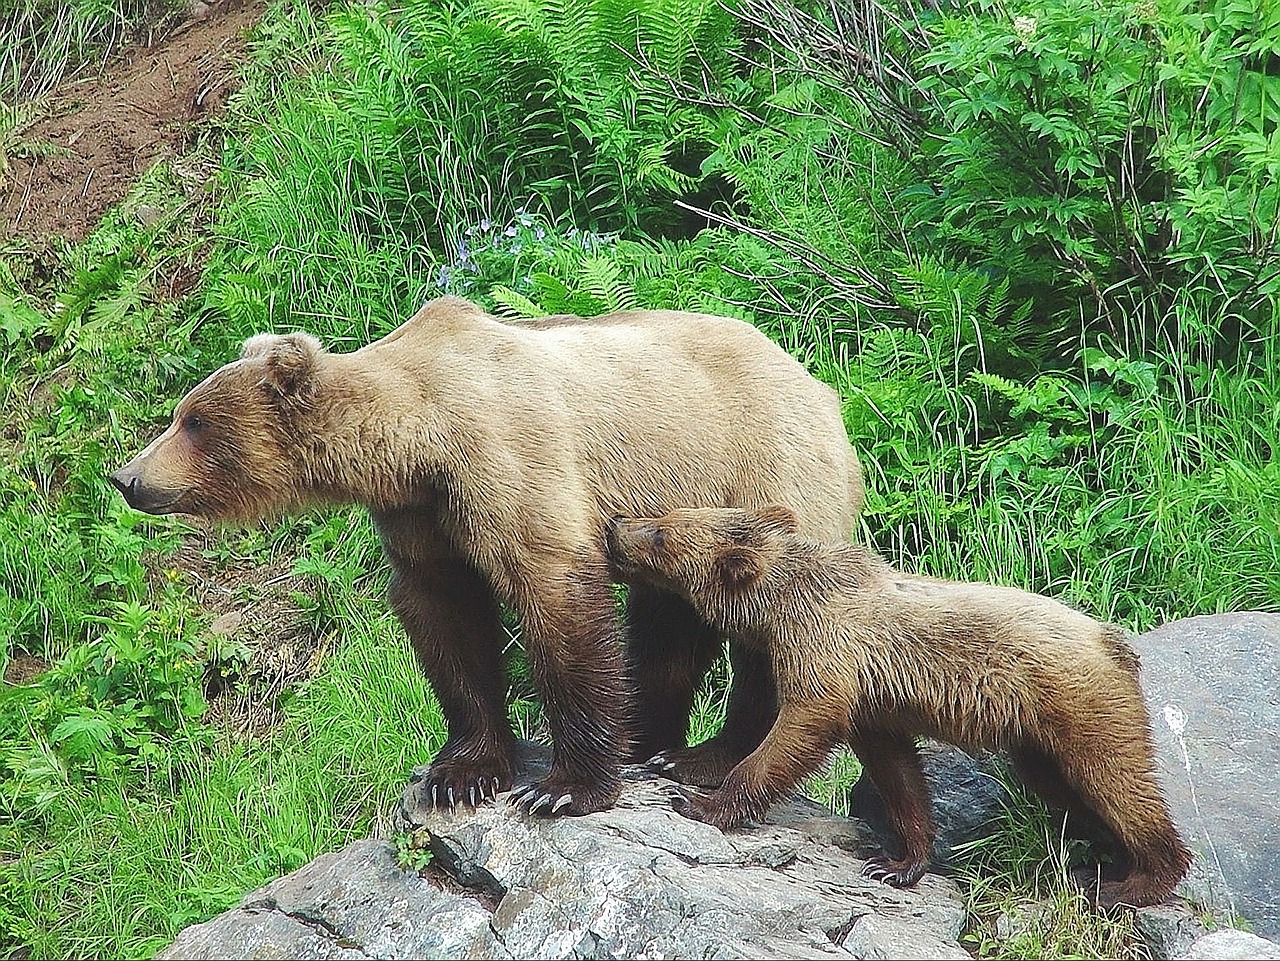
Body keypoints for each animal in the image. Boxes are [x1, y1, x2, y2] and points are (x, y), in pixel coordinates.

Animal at [110, 295, 865, 818]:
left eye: (193, 421)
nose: (126, 477)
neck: (416, 438)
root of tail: (821, 385)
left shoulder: (507, 462)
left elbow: (555, 595)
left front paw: (563, 788)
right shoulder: (422, 516)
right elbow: (446, 619)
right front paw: (460, 774)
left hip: (763, 474)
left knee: (767, 627)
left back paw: (705, 757)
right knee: (667, 624)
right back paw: (651, 739)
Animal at [604, 504, 1192, 911]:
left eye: (661, 531)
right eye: (664, 516)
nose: (614, 525)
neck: (778, 607)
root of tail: (1114, 640)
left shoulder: (826, 651)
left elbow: (799, 725)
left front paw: (701, 801)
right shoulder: (873, 700)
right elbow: (896, 770)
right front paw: (898, 862)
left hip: (1079, 705)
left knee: (1118, 783)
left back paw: (1136, 881)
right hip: (1038, 741)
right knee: (1071, 790)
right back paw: (1107, 862)